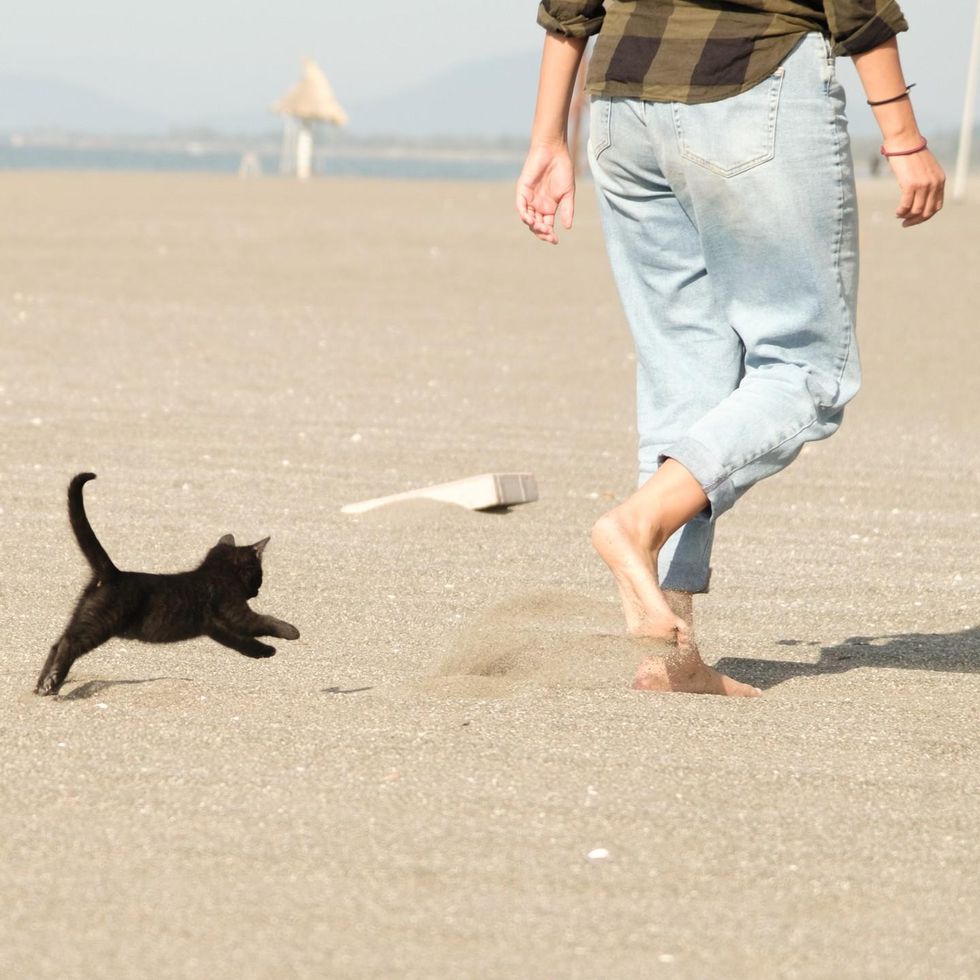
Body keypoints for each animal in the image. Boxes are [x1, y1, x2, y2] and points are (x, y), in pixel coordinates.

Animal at [35, 474, 298, 696]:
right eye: (260, 575)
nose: (257, 590)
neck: (215, 574)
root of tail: (112, 573)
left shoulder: (216, 626)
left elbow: (242, 642)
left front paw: (264, 652)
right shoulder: (234, 612)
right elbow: (263, 622)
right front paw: (291, 631)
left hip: (83, 615)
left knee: (56, 644)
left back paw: (42, 685)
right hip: (101, 622)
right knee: (68, 644)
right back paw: (52, 682)